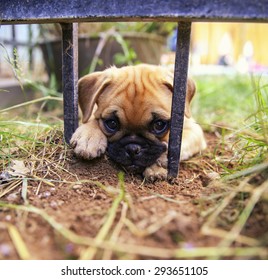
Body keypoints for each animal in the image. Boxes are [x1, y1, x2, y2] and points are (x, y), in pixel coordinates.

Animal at [70, 64, 206, 180]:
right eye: (112, 123)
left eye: (159, 125)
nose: (133, 148)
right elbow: (92, 119)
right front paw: (89, 137)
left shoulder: (194, 130)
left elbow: (179, 141)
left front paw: (158, 165)